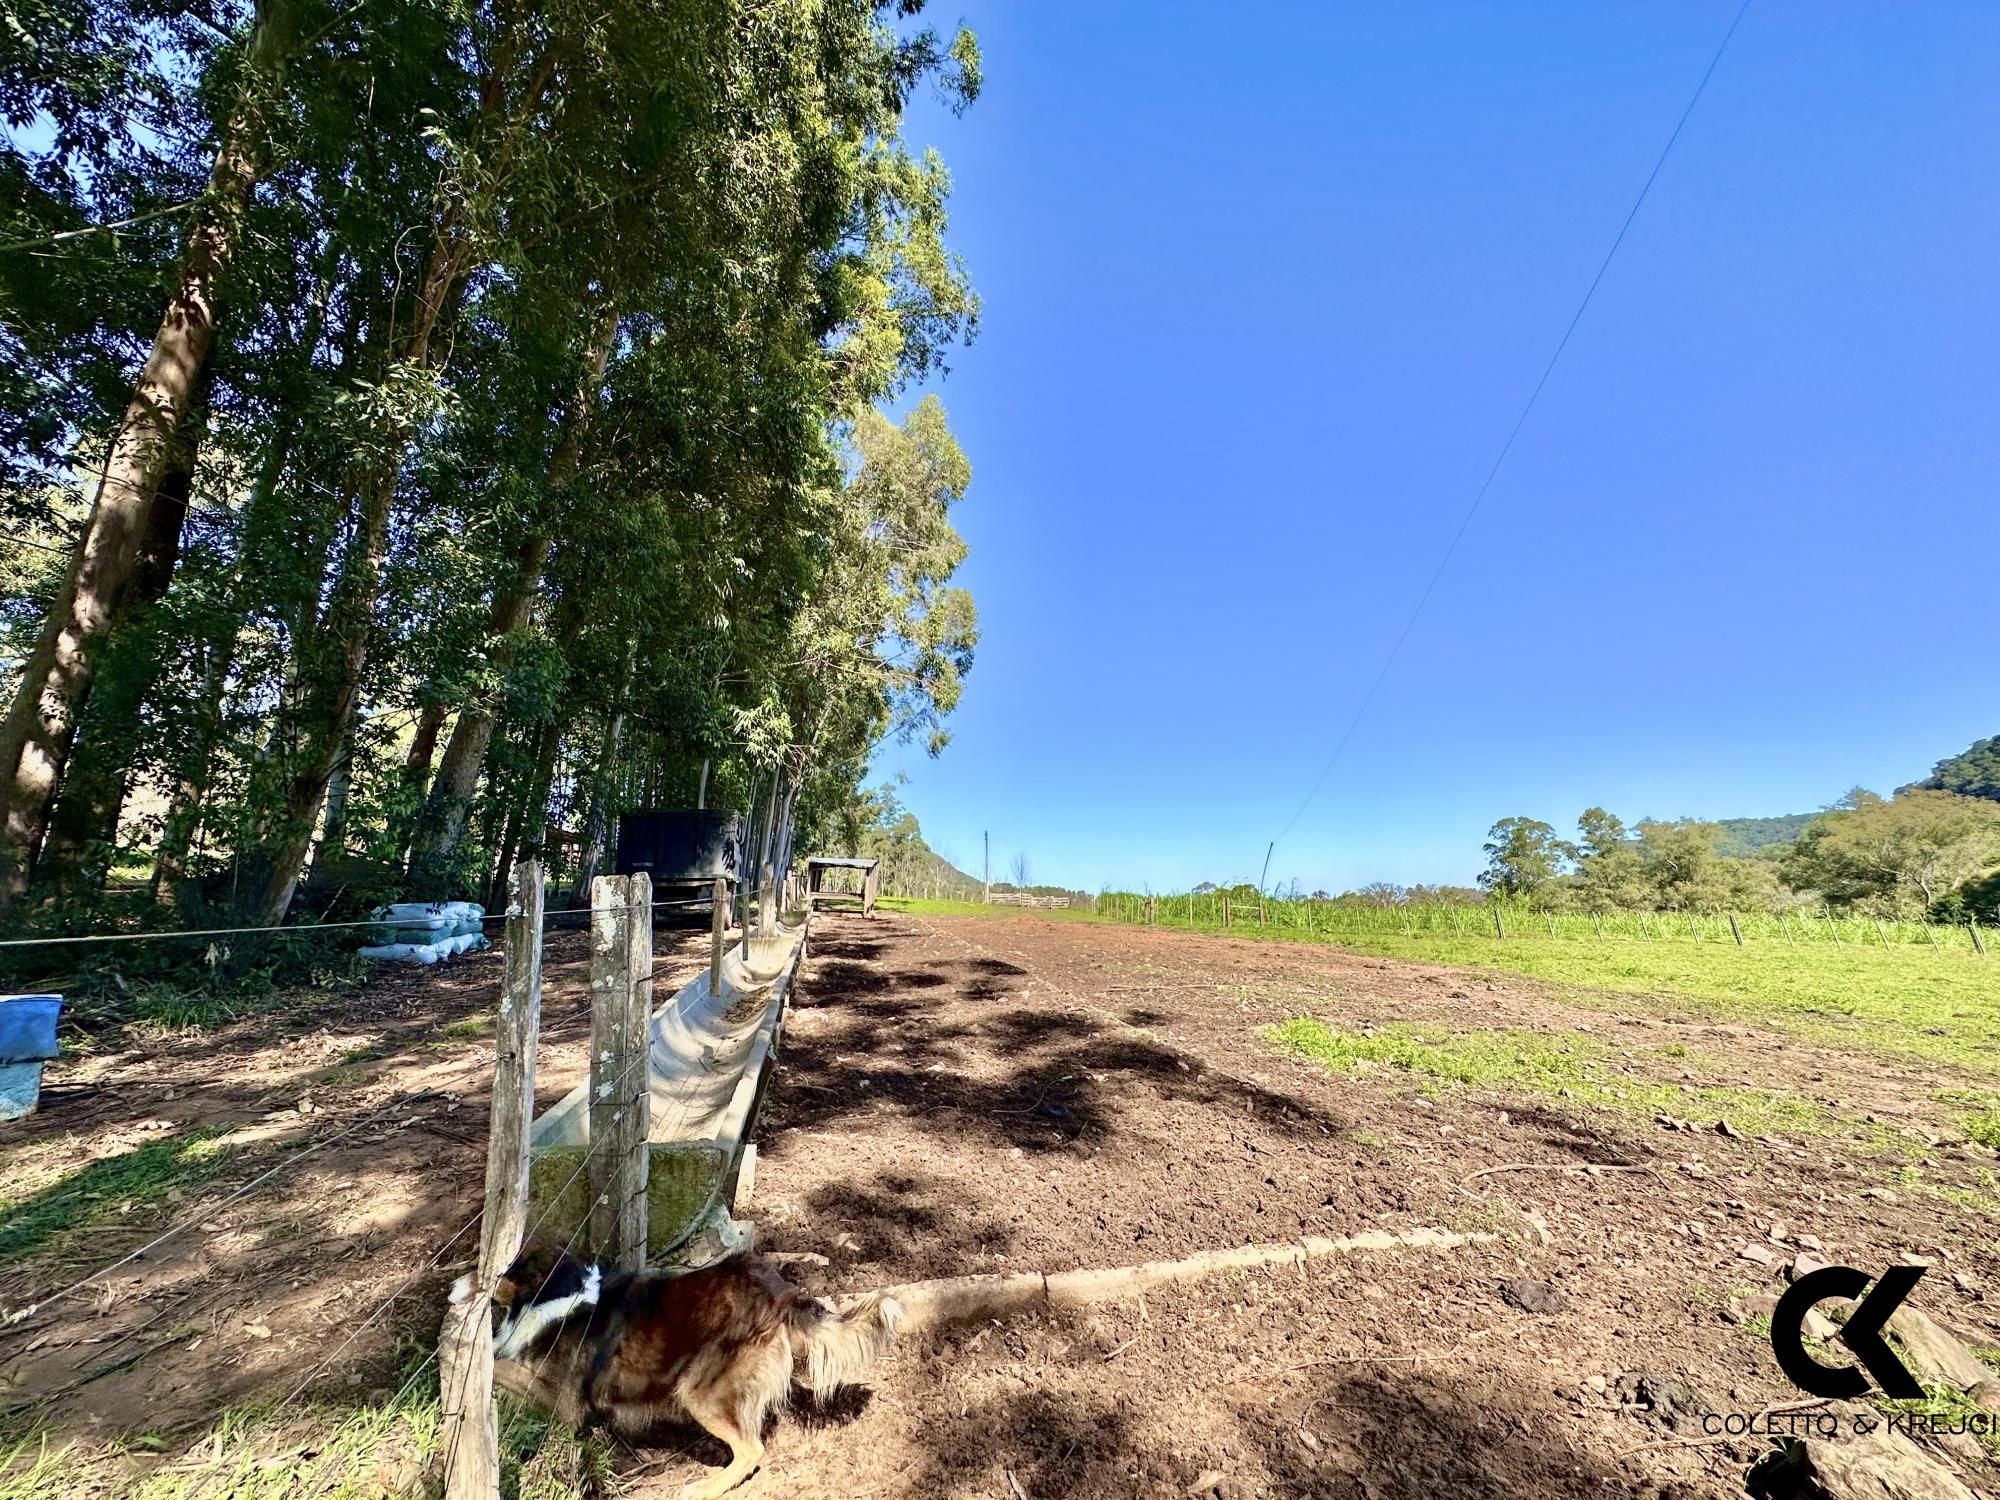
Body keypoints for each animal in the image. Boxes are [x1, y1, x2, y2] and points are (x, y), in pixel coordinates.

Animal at [454, 1248, 900, 1500]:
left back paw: (705, 1487)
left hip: (699, 1391)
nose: (455, 1283)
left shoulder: (563, 1403)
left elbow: (500, 1366)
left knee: (752, 1449)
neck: (559, 1295)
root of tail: (780, 1291)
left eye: (495, 1272)